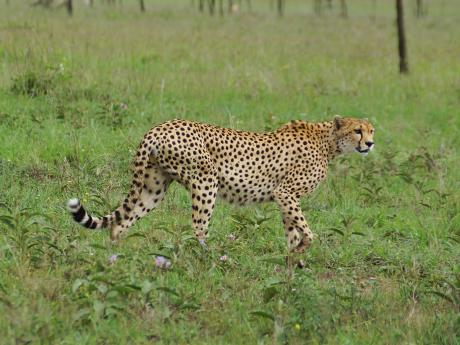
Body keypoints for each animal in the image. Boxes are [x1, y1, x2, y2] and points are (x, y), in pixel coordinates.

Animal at [67, 115, 374, 253]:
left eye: (371, 130)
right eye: (357, 130)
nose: (370, 143)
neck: (328, 142)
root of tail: (159, 127)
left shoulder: (285, 198)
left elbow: (292, 230)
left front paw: (292, 260)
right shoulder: (285, 192)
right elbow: (307, 232)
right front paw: (301, 251)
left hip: (153, 188)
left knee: (121, 222)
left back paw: (116, 254)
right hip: (206, 180)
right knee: (198, 226)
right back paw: (211, 255)